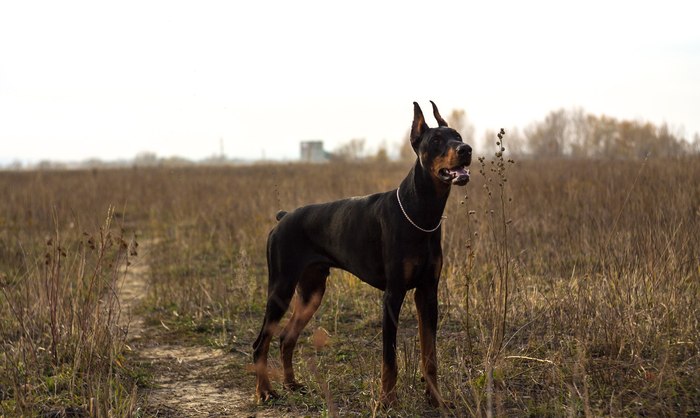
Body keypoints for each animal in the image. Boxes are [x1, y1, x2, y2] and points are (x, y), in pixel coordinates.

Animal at [252, 99, 470, 406]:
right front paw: (387, 402)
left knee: (286, 337)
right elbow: (389, 358)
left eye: (458, 136)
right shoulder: (393, 295)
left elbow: (430, 355)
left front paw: (436, 399)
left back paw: (292, 384)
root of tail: (283, 218)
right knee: (261, 342)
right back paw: (264, 391)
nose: (466, 150)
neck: (422, 212)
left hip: (312, 292)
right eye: (437, 139)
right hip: (281, 288)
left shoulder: (428, 292)